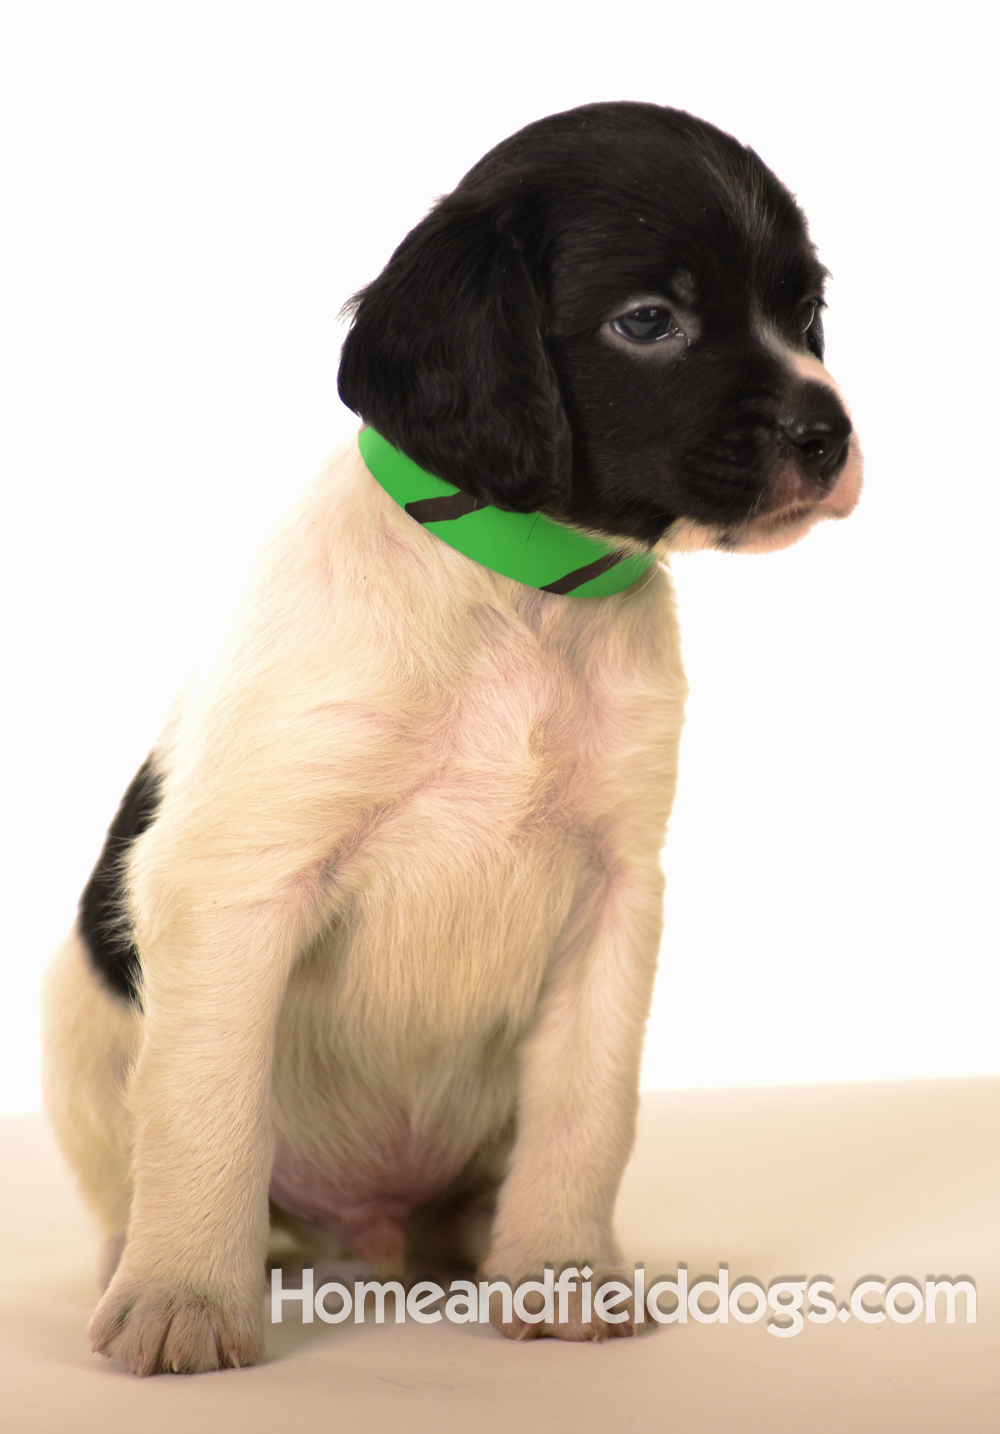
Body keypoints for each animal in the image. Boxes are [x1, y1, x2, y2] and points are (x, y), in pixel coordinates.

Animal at [42, 95, 860, 1370]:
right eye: (648, 320)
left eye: (806, 308)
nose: (828, 434)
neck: (519, 598)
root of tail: (371, 1233)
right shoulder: (234, 887)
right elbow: (208, 1111)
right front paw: (187, 1296)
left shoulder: (616, 892)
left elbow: (589, 1105)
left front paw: (563, 1268)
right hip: (76, 1027)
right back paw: (166, 1262)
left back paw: (481, 1242)